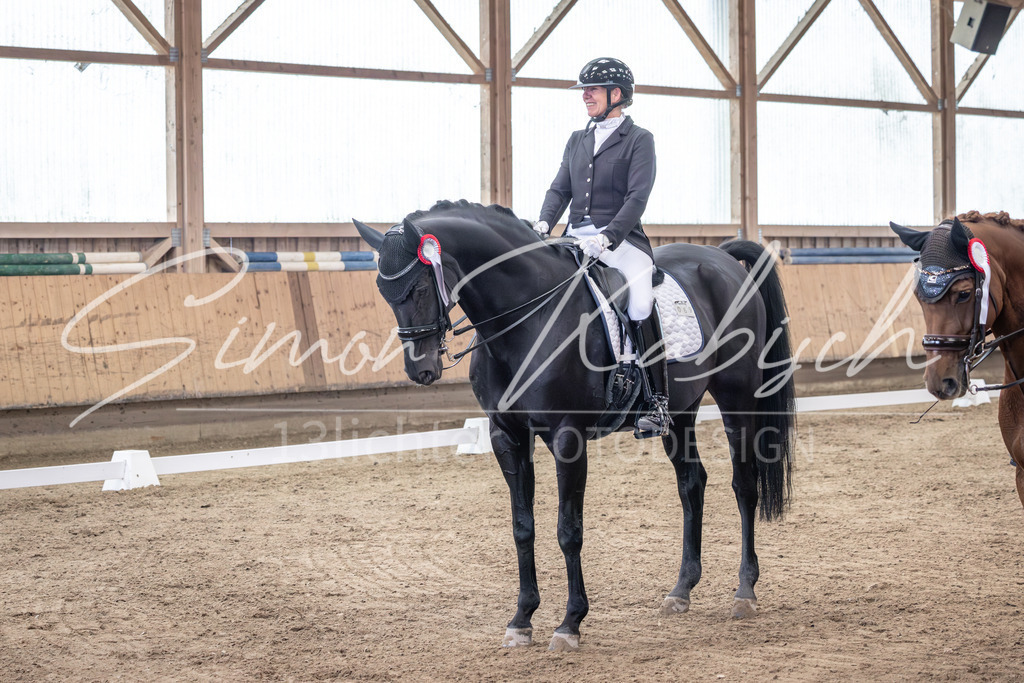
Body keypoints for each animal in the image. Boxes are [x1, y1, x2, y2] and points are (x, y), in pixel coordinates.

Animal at [354, 200, 795, 650]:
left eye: (421, 289)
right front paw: (522, 619)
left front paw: (569, 623)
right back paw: (681, 590)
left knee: (744, 485)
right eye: (384, 292)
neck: (527, 318)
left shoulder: (567, 438)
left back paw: (745, 592)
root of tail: (721, 258)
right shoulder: (507, 436)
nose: (421, 370)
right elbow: (522, 527)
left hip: (737, 398)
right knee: (692, 484)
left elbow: (569, 530)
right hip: (680, 412)